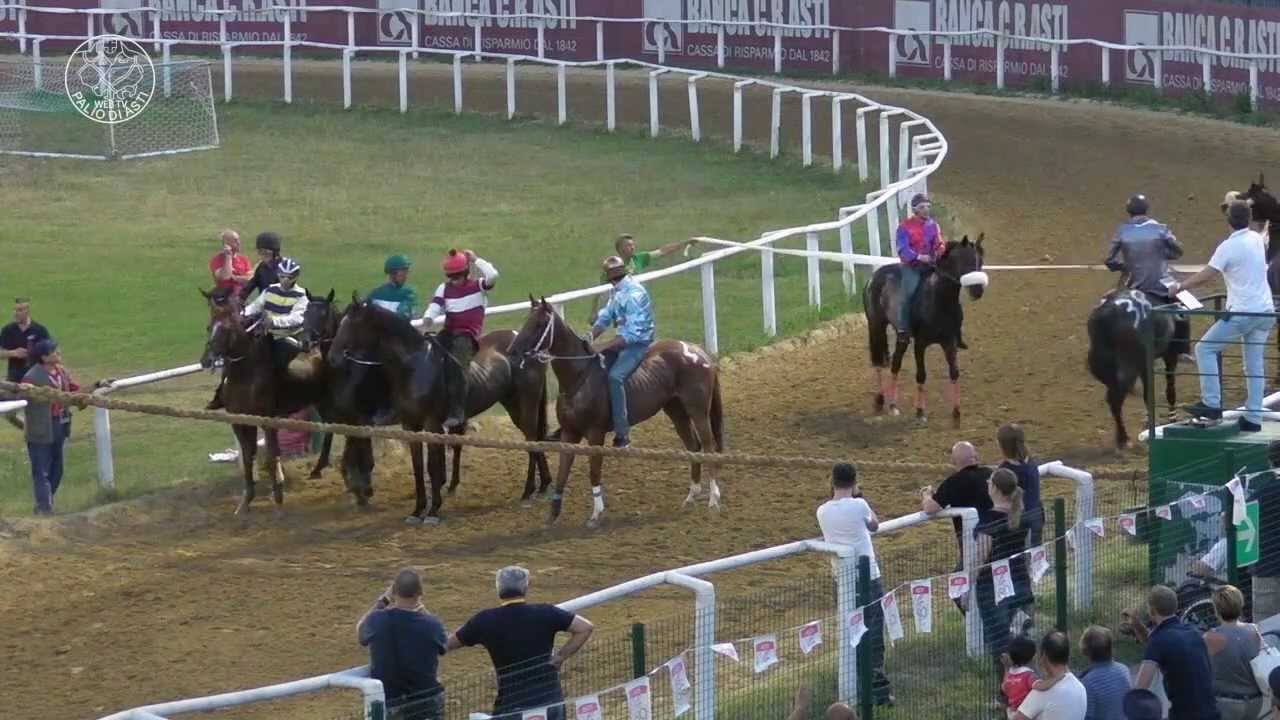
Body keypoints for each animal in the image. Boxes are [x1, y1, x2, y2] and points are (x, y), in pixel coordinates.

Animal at [325, 297, 550, 520]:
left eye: (353, 324)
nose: (333, 357)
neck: (414, 366)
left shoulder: (432, 424)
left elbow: (433, 466)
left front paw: (433, 510)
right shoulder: (409, 426)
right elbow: (418, 466)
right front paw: (418, 510)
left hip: (526, 403)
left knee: (532, 438)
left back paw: (529, 489)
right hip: (512, 405)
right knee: (533, 438)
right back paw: (543, 485)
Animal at [509, 297, 732, 527]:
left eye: (539, 324)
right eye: (526, 320)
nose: (512, 351)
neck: (580, 377)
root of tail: (699, 352)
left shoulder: (595, 434)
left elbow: (594, 472)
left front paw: (596, 513)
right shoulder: (570, 433)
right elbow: (562, 472)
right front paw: (553, 513)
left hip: (698, 411)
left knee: (708, 447)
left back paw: (713, 500)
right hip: (676, 410)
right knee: (693, 446)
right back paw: (691, 497)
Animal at [860, 233, 988, 422]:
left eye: (981, 260)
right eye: (965, 260)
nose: (977, 290)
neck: (939, 301)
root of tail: (874, 277)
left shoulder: (949, 342)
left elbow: (954, 372)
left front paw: (956, 413)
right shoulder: (920, 343)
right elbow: (921, 375)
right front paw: (920, 411)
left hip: (901, 337)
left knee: (895, 363)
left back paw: (893, 405)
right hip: (876, 327)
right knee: (878, 361)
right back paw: (880, 400)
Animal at [1085, 286, 1172, 448]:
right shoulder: (1158, 360)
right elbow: (1151, 395)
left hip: (1103, 369)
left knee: (1113, 401)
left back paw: (1121, 438)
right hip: (1127, 371)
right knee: (1115, 400)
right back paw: (1123, 439)